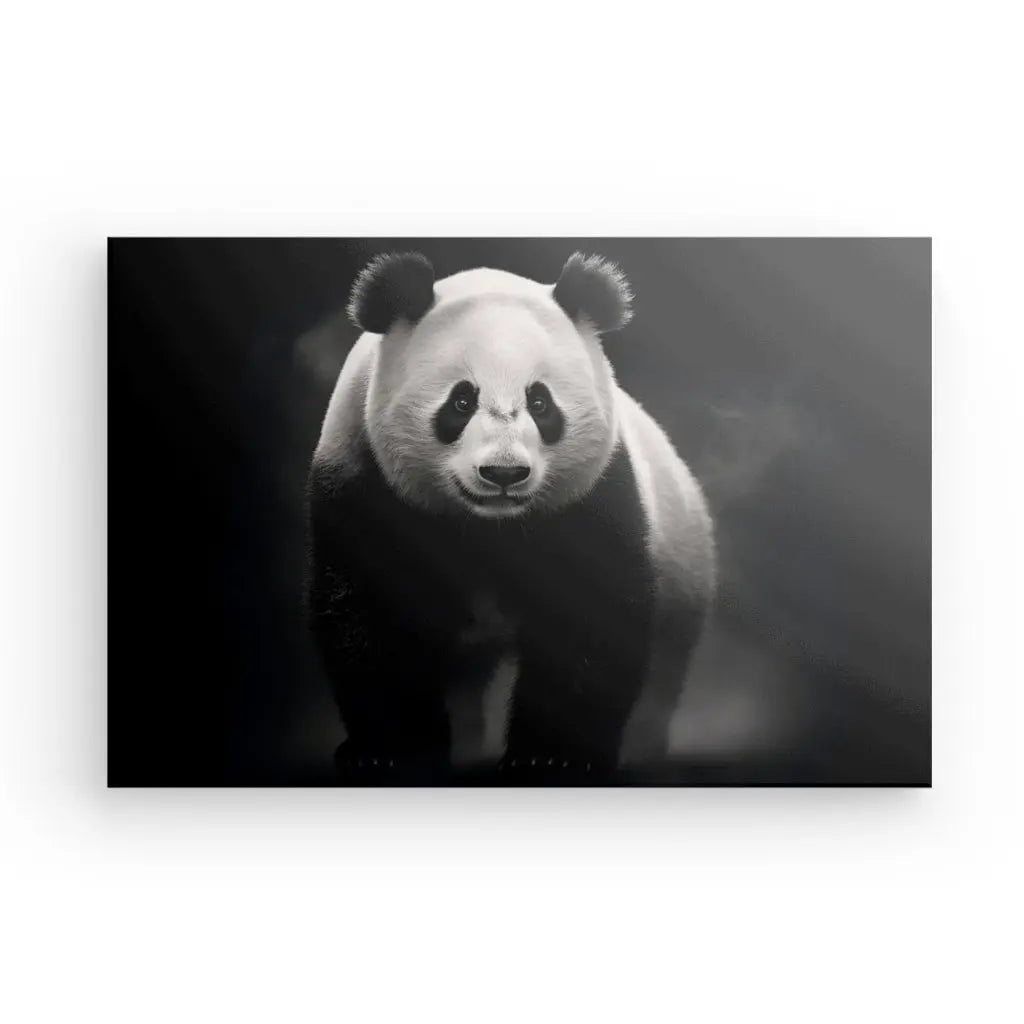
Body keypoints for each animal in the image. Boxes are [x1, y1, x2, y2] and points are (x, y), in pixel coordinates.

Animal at [308, 251, 716, 783]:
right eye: (461, 401)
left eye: (540, 403)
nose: (504, 473)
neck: (488, 526)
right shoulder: (361, 479)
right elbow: (370, 615)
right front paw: (390, 750)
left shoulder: (593, 493)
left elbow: (589, 614)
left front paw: (553, 754)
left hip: (682, 577)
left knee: (660, 678)